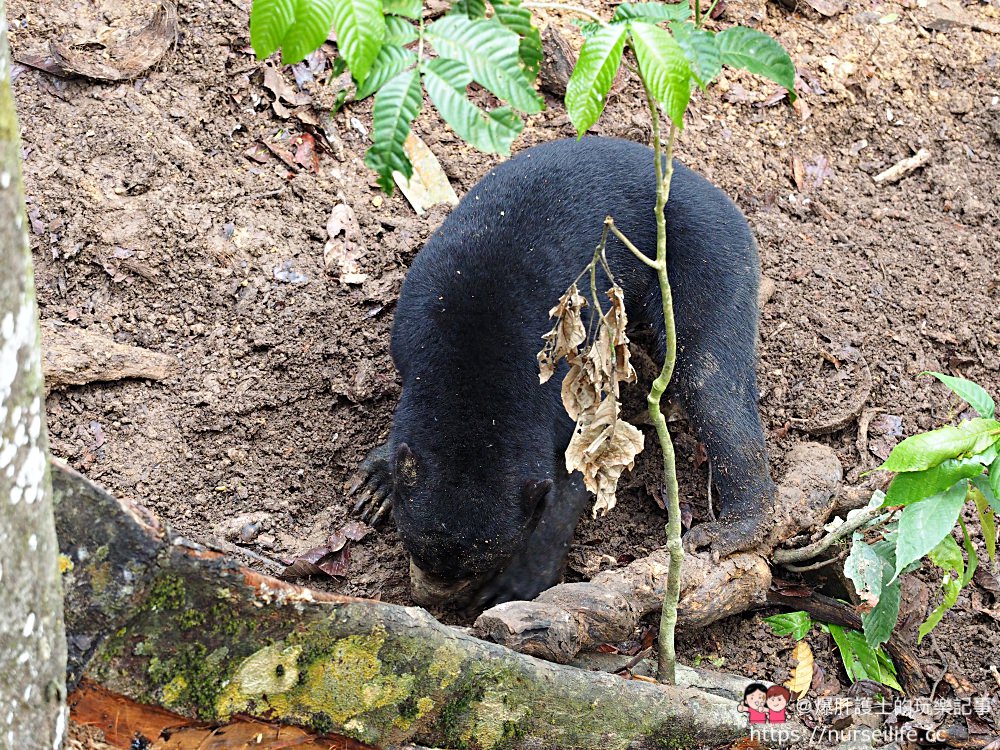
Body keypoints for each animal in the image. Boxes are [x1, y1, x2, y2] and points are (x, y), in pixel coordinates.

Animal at [356, 138, 776, 612]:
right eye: (415, 546)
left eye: (478, 565)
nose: (431, 599)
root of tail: (710, 187)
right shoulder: (411, 335)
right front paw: (375, 483)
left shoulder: (565, 392)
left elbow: (578, 473)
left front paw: (518, 582)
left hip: (710, 256)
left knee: (711, 380)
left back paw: (735, 529)